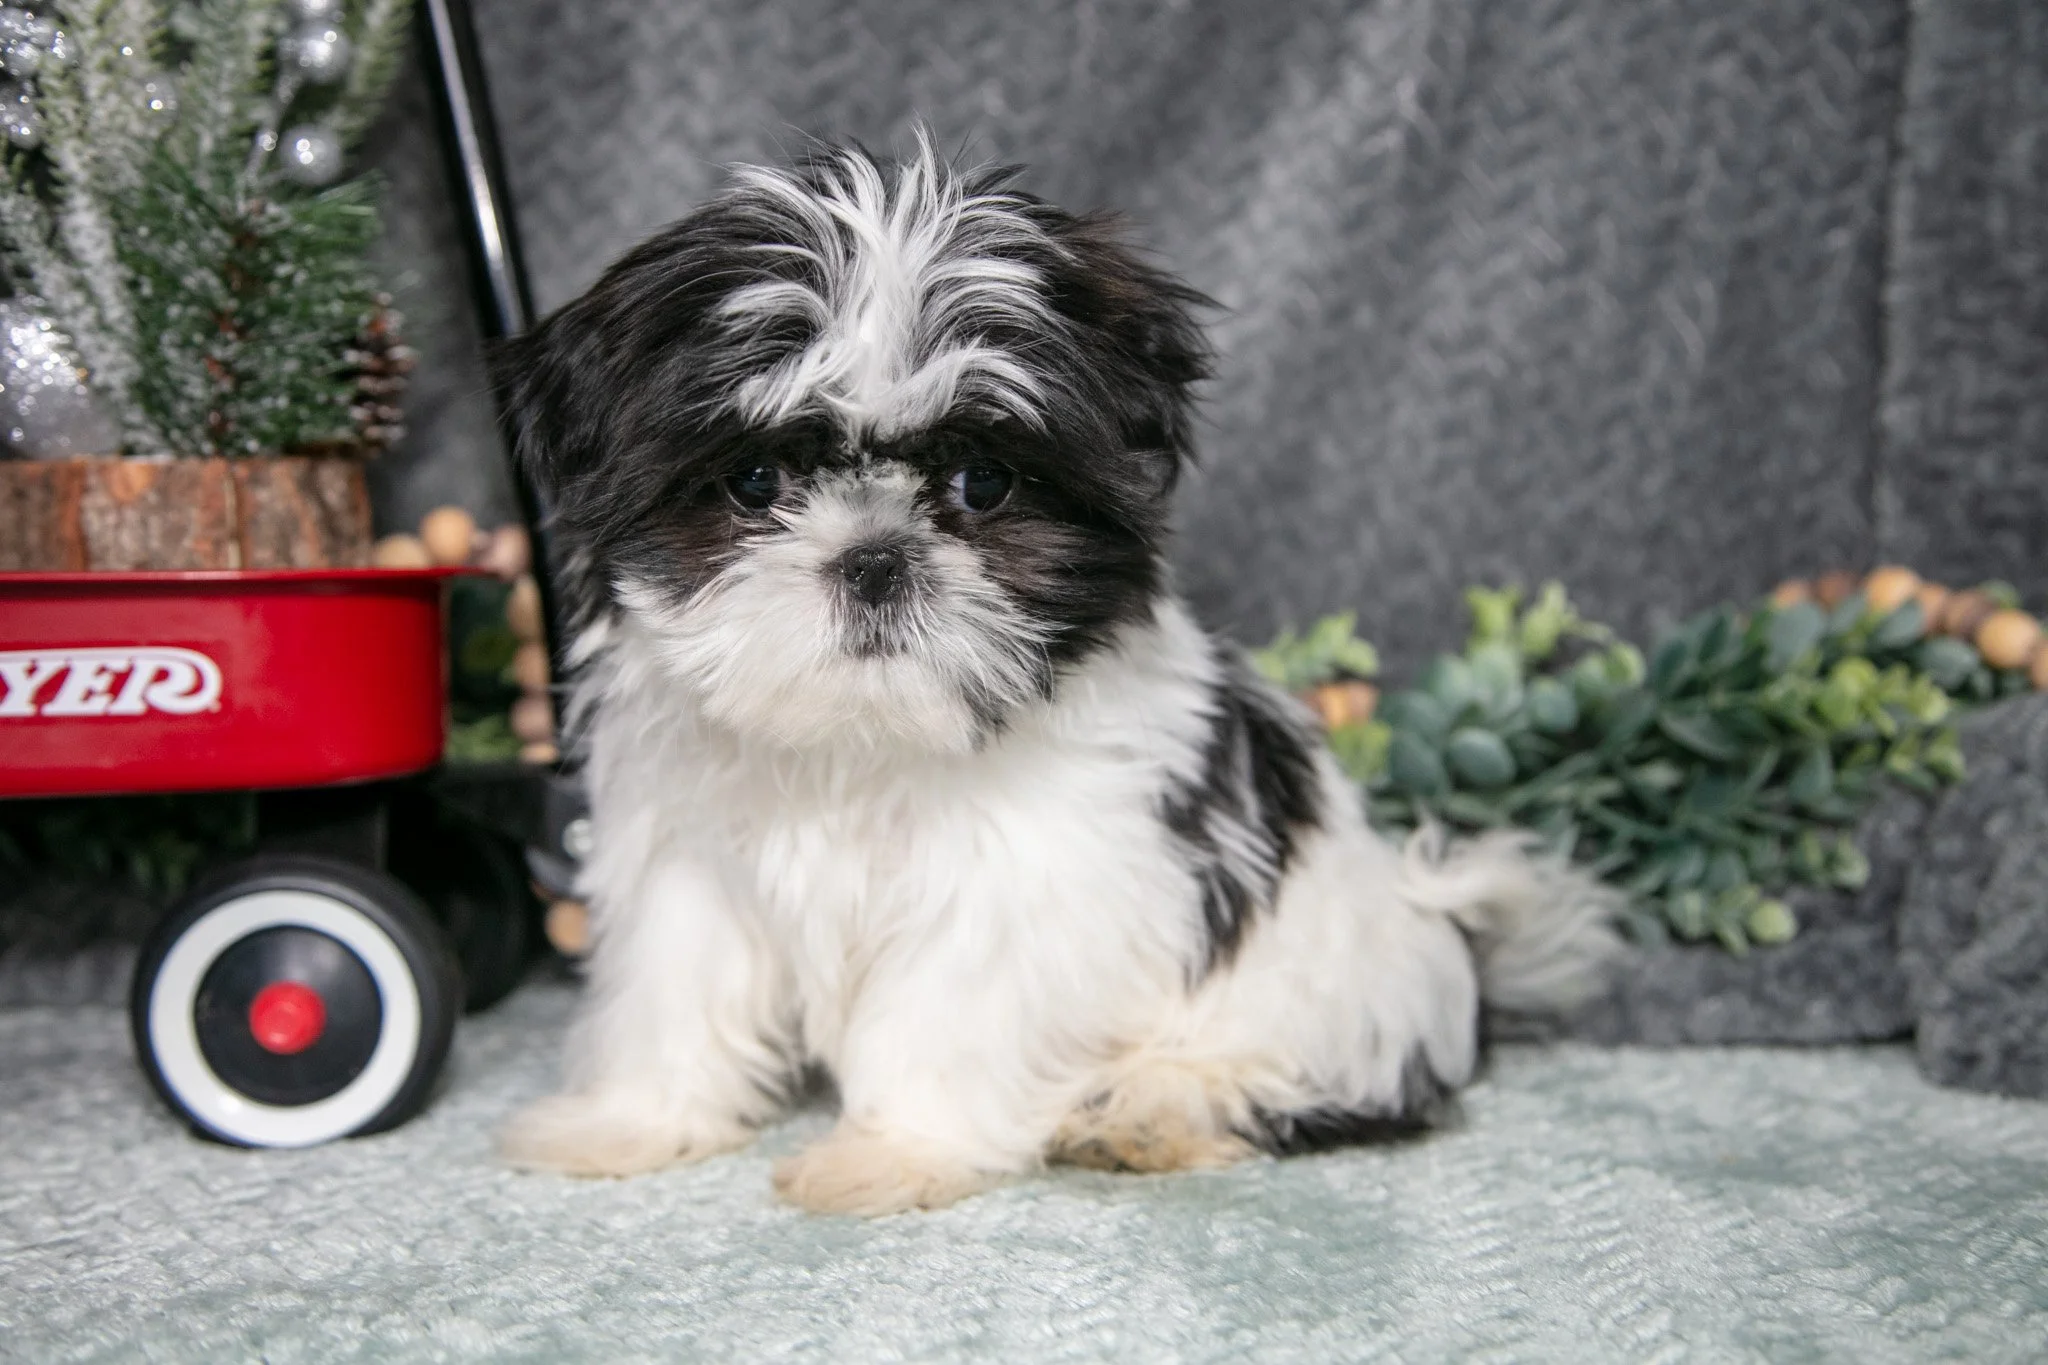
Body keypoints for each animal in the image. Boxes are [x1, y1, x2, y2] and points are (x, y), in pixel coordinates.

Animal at [493, 134, 1619, 1215]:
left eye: (982, 483)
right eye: (755, 480)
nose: (874, 559)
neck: (859, 738)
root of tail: (1446, 940)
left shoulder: (1013, 879)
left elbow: (938, 1011)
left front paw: (895, 1155)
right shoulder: (687, 857)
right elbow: (679, 986)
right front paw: (634, 1121)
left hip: (1321, 994)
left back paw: (1152, 1110)